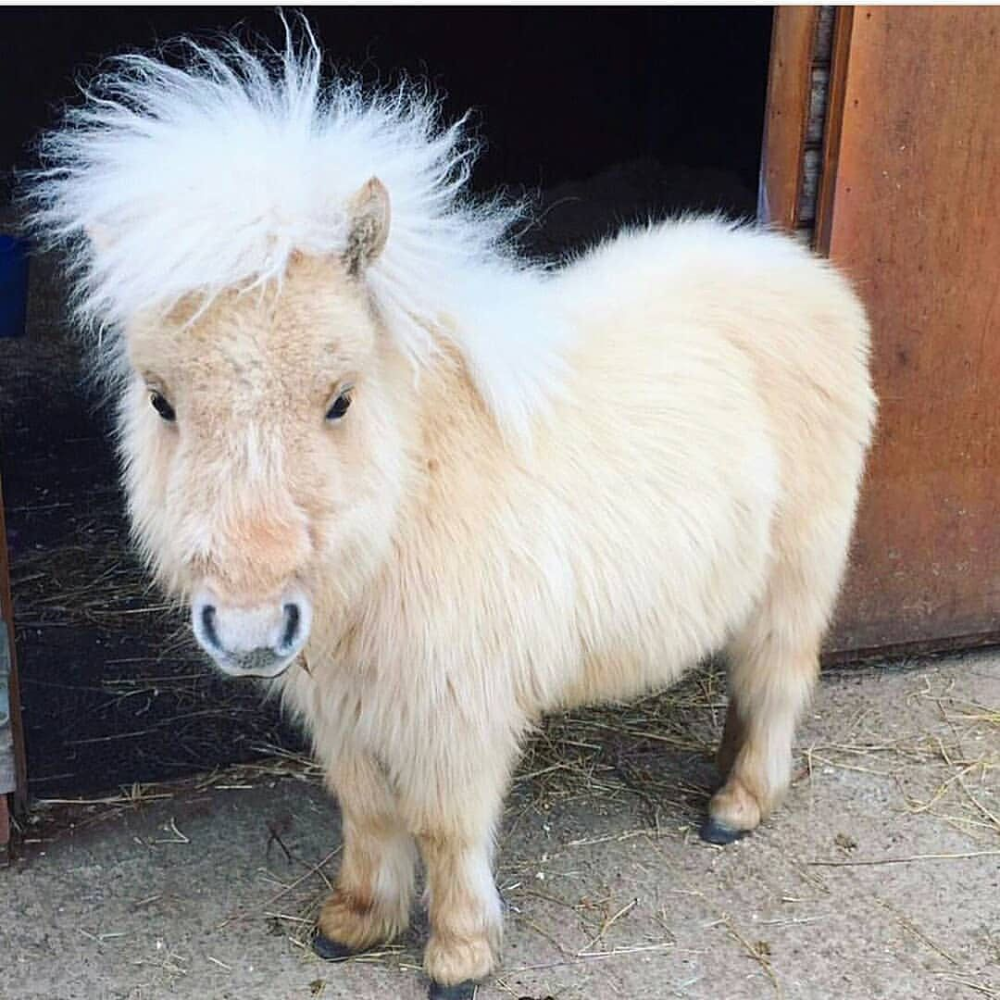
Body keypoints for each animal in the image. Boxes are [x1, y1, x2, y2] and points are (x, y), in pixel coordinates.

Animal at [26, 27, 876, 999]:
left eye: (340, 398)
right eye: (161, 400)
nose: (249, 630)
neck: (409, 503)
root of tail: (806, 276)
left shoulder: (455, 714)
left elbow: (444, 826)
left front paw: (459, 954)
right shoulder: (346, 708)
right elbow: (366, 814)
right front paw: (356, 923)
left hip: (795, 581)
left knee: (777, 682)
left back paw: (737, 805)